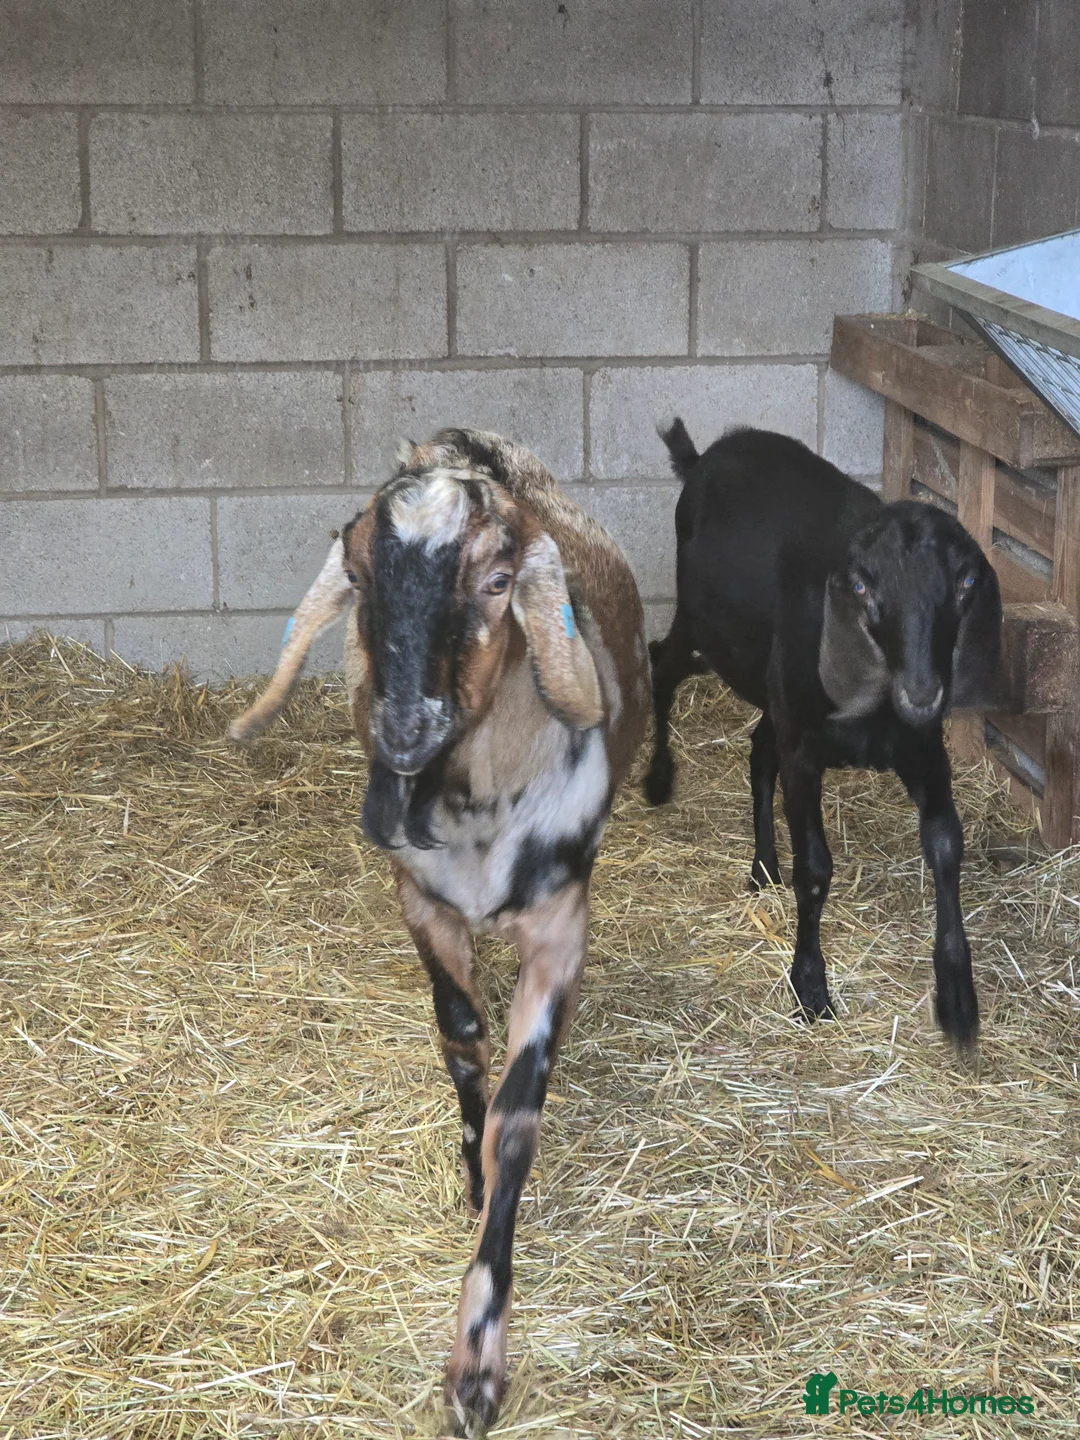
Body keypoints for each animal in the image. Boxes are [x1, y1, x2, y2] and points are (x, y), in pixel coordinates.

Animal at [229, 429, 650, 1436]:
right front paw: (469, 1178)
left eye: (500, 579)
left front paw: (477, 1371)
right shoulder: (419, 901)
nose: (404, 729)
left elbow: (517, 1121)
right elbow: (460, 1038)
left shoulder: (562, 930)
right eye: (355, 572)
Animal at [644, 423, 1001, 1049]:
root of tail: (710, 452)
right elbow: (814, 868)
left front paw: (958, 999)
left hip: (772, 689)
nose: (922, 693)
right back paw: (659, 777)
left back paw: (763, 866)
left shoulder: (922, 749)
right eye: (860, 586)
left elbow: (945, 847)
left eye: (964, 582)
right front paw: (810, 986)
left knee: (759, 752)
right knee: (661, 663)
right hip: (701, 627)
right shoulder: (806, 752)